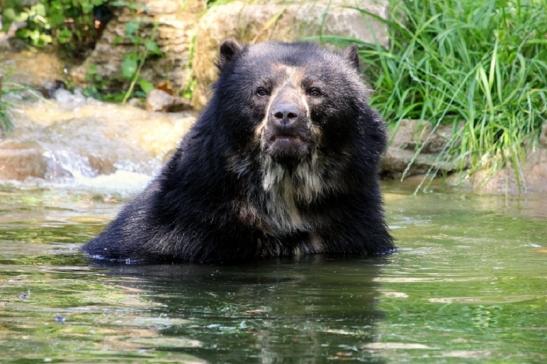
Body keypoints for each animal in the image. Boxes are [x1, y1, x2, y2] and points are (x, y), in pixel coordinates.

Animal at [83, 39, 394, 264]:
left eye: (315, 91)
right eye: (261, 91)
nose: (286, 116)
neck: (286, 187)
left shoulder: (355, 224)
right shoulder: (178, 225)